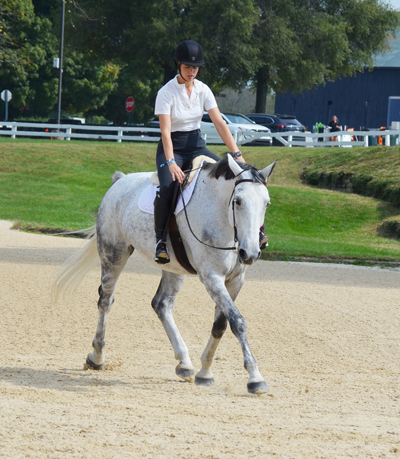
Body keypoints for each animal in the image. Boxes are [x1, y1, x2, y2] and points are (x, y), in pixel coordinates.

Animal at [53, 155, 276, 396]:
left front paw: (205, 372)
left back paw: (185, 363)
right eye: (238, 201)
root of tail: (120, 181)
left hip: (174, 269)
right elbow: (238, 322)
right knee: (105, 301)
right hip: (114, 254)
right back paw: (97, 357)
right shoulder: (211, 276)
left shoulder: (235, 280)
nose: (250, 252)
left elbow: (221, 325)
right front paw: (255, 377)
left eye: (266, 203)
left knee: (162, 304)